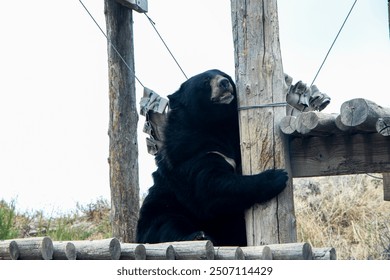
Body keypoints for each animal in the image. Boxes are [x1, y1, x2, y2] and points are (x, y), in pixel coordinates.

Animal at [136, 68, 288, 245]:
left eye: (225, 75)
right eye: (205, 82)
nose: (224, 82)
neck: (217, 124)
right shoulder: (190, 153)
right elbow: (210, 186)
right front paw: (277, 176)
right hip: (162, 207)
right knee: (168, 224)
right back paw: (197, 236)